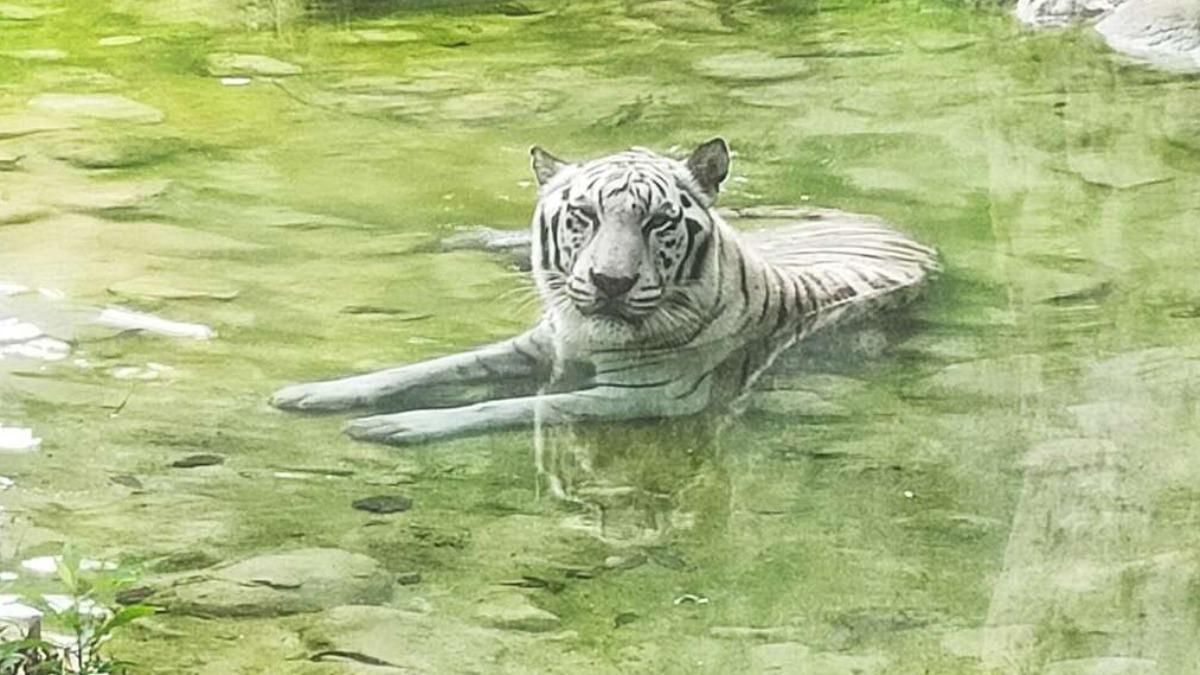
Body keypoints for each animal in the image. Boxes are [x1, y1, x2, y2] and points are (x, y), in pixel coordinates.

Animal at [270, 139, 939, 445]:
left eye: (659, 222)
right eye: (583, 216)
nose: (609, 283)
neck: (588, 333)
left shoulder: (644, 395)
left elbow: (512, 406)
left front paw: (394, 427)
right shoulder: (537, 342)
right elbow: (424, 367)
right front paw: (312, 393)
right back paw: (456, 238)